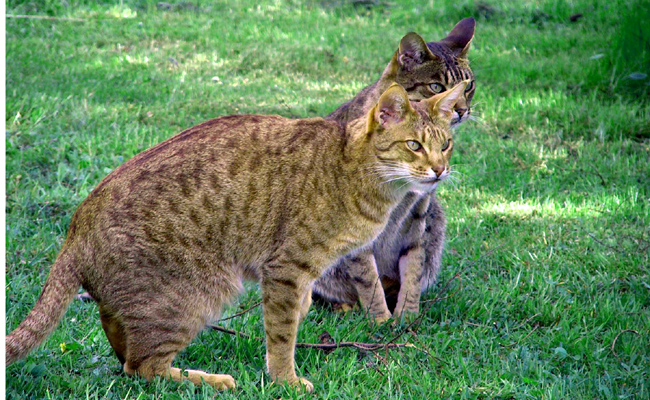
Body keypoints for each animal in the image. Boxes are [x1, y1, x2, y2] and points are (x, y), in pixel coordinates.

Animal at [7, 81, 468, 390]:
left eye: (445, 144)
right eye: (413, 145)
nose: (440, 169)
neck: (354, 168)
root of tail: (75, 228)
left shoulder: (301, 273)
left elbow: (298, 311)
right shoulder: (286, 267)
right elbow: (281, 333)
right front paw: (286, 381)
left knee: (122, 345)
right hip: (197, 294)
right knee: (141, 368)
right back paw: (210, 379)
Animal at [312, 17, 474, 320]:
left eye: (468, 86)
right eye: (437, 86)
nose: (460, 109)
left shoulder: (419, 214)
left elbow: (413, 269)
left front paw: (407, 315)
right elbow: (367, 277)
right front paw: (380, 319)